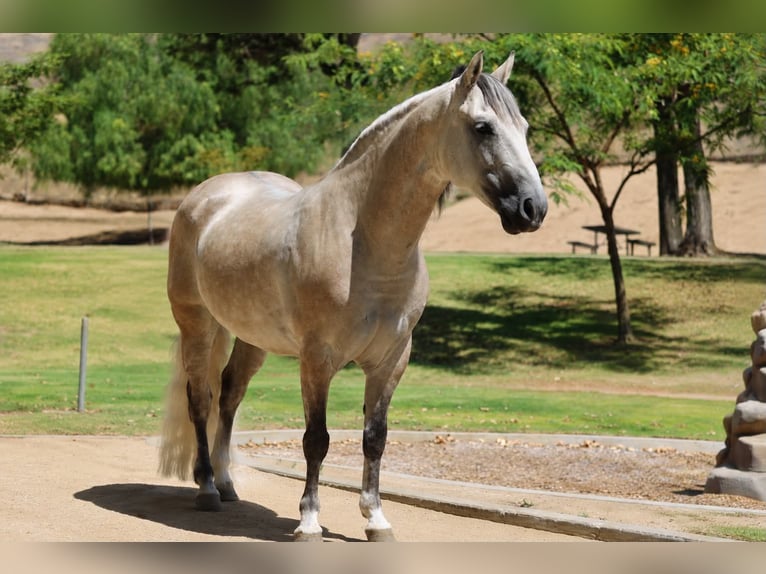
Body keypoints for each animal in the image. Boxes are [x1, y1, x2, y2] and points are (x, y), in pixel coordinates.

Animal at [158, 50, 547, 542]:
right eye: (483, 127)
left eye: (526, 127)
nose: (533, 209)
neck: (361, 242)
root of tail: (206, 197)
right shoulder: (317, 359)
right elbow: (316, 439)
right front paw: (308, 521)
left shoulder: (391, 360)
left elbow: (374, 437)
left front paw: (376, 518)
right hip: (197, 325)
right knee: (201, 399)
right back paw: (207, 487)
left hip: (251, 338)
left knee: (229, 396)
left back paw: (228, 484)